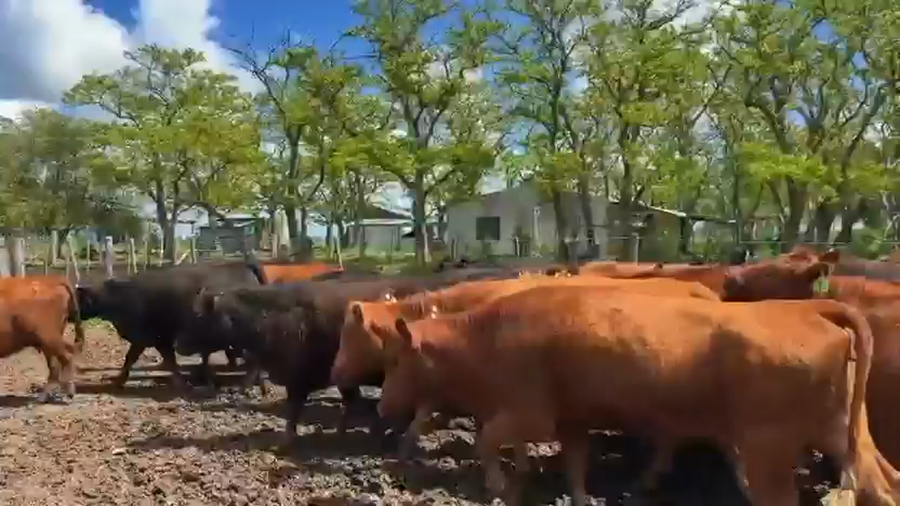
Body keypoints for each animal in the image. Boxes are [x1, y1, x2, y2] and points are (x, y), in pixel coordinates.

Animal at [75, 260, 267, 390]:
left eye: (79, 299)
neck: (118, 296)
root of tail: (242, 265)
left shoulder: (148, 339)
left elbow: (138, 359)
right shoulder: (158, 340)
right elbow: (166, 361)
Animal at [377, 286, 873, 506]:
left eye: (397, 360)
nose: (381, 405)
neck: (485, 338)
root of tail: (809, 309)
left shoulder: (530, 411)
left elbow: (486, 441)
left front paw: (499, 487)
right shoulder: (571, 420)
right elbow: (576, 466)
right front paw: (579, 498)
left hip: (767, 446)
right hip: (832, 430)